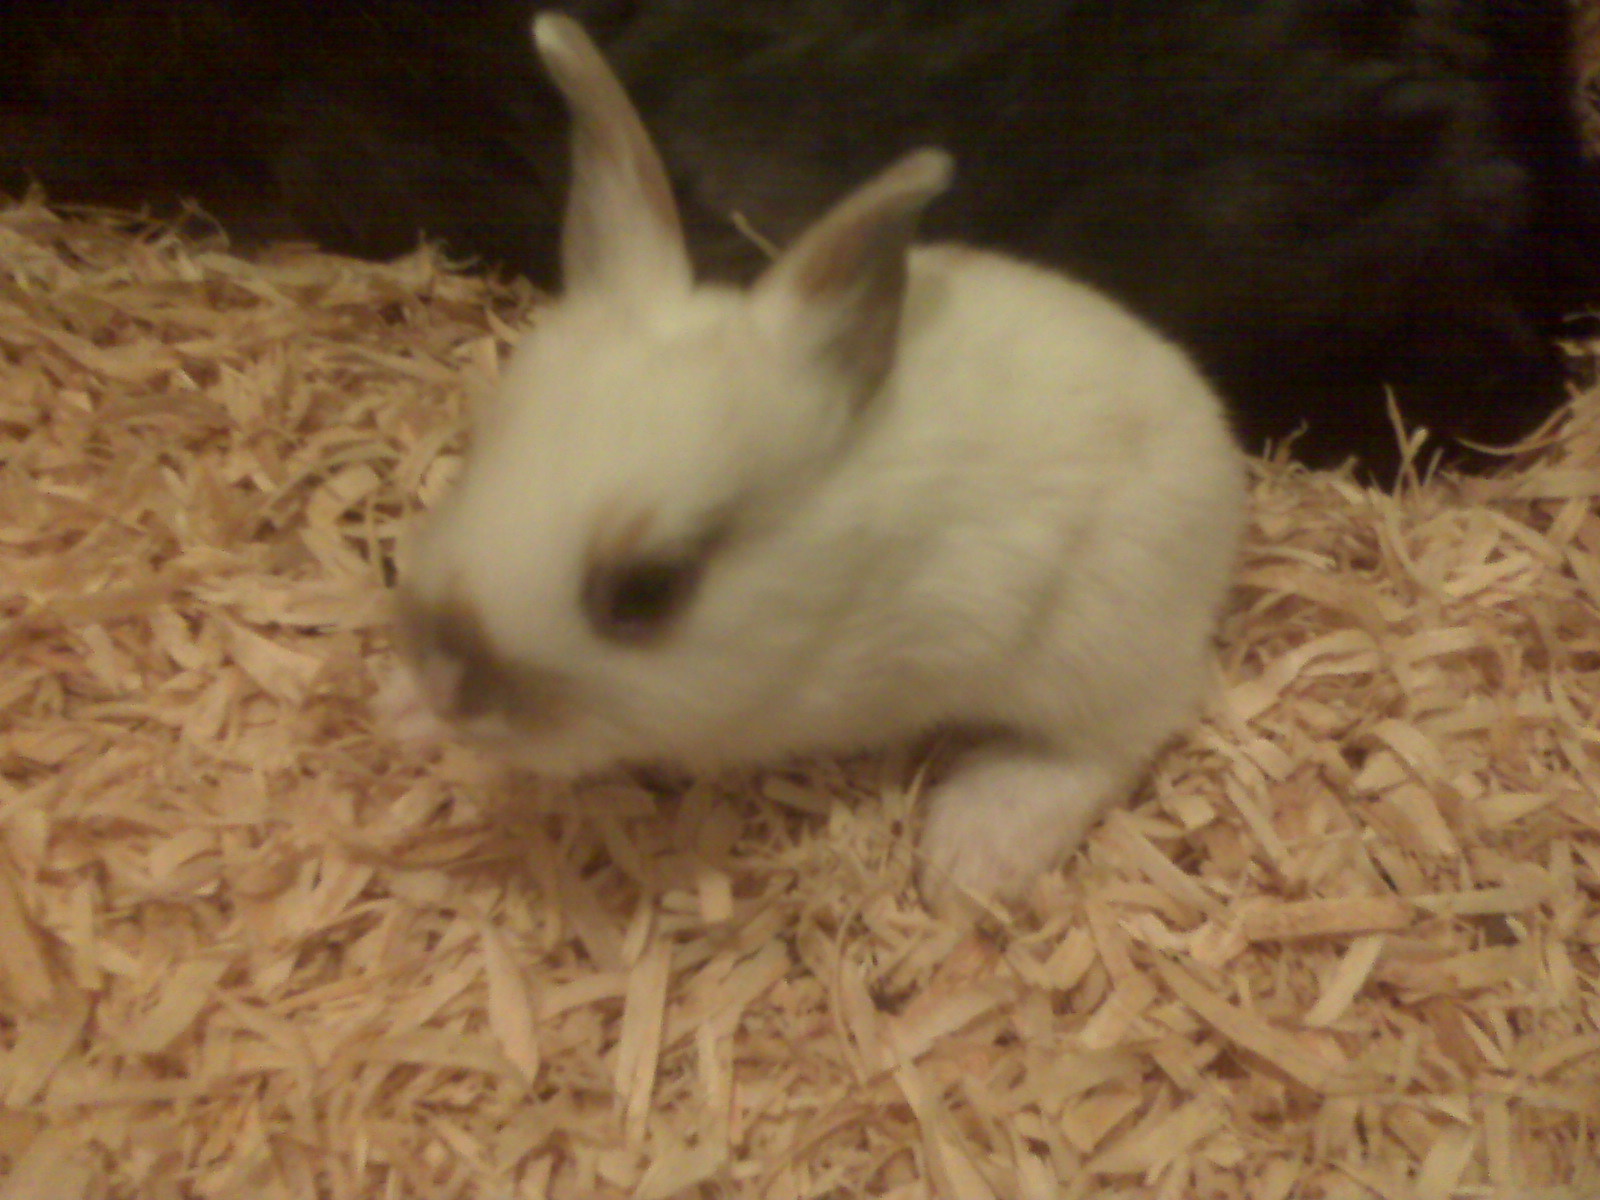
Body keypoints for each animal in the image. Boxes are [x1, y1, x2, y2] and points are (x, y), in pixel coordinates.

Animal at [393, 11, 1241, 908]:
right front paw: (399, 710)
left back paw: (970, 853)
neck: (831, 570)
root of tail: (1223, 456)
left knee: (1115, 736)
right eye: (482, 443)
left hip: (1098, 638)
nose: (444, 678)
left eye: (647, 590)